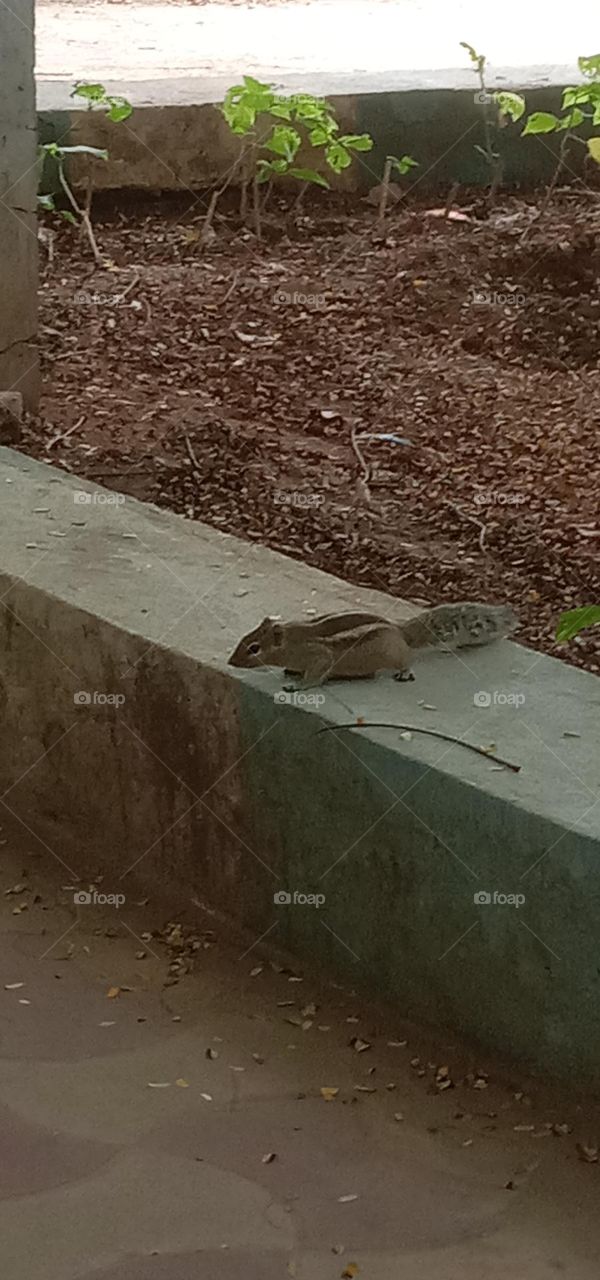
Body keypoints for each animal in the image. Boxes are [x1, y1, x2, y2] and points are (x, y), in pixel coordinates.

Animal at [228, 602, 517, 688]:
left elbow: (316, 675)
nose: (231, 662)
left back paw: (404, 673)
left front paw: (298, 685)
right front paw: (290, 672)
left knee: (407, 660)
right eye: (243, 639)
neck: (293, 642)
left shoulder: (319, 656)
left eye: (254, 649)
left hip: (395, 655)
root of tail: (400, 631)